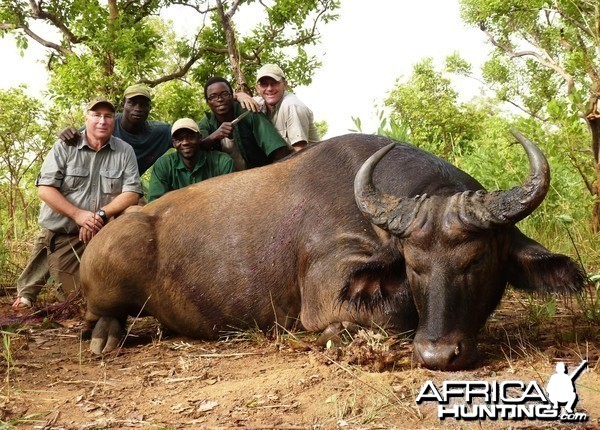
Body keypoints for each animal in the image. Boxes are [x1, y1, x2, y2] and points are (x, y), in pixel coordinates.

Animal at [81, 130, 584, 370]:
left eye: (477, 261)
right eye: (413, 266)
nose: (438, 355)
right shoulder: (329, 290)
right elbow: (390, 312)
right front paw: (338, 335)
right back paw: (104, 336)